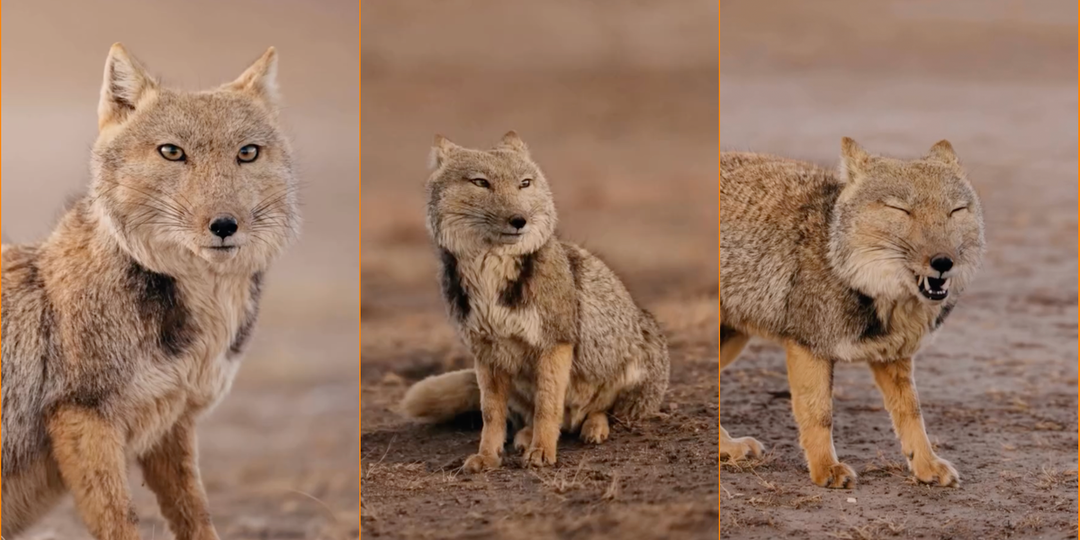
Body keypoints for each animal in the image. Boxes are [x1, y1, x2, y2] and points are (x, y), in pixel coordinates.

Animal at [1, 44, 300, 538]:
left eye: (247, 153)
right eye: (172, 152)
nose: (224, 225)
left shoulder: (172, 423)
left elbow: (197, 516)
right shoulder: (85, 417)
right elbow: (120, 522)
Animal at [399, 132, 670, 472]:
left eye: (524, 184)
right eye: (481, 182)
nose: (520, 220)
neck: (490, 274)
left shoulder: (554, 344)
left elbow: (547, 406)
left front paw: (542, 451)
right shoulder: (486, 354)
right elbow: (492, 415)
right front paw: (488, 457)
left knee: (601, 411)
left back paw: (592, 427)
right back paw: (526, 436)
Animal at [719, 138, 985, 489]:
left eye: (955, 211)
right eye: (901, 210)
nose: (943, 261)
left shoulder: (893, 355)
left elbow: (911, 414)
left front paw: (926, 464)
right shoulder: (809, 346)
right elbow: (819, 413)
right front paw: (825, 469)